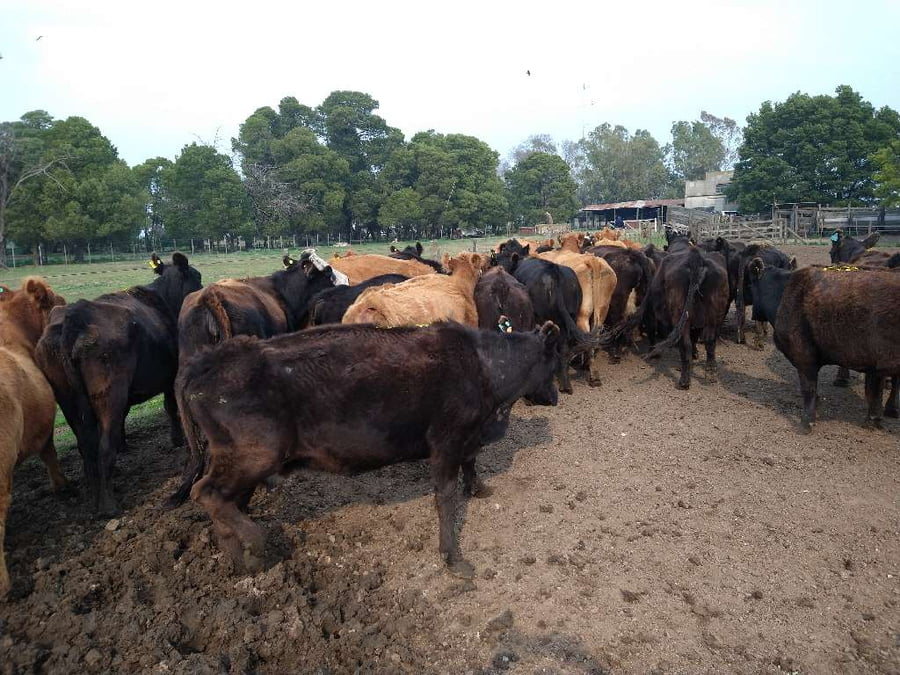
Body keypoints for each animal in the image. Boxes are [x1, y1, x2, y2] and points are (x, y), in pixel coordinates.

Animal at [35, 253, 202, 516]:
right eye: (198, 276)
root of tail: (76, 316)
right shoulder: (170, 373)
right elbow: (170, 407)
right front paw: (177, 439)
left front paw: (124, 443)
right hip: (110, 393)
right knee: (103, 447)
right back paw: (108, 505)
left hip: (68, 399)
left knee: (86, 446)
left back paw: (94, 495)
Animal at [171, 321, 562, 577]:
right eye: (553, 360)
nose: (558, 396)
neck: (483, 366)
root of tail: (207, 361)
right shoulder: (446, 442)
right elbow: (446, 498)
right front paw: (453, 558)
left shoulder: (467, 438)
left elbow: (472, 462)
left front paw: (479, 488)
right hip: (254, 453)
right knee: (206, 492)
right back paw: (254, 542)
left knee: (225, 503)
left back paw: (240, 559)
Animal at [748, 259, 900, 431]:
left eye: (751, 285)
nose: (753, 314)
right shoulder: (874, 365)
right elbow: (874, 394)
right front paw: (873, 421)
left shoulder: (804, 356)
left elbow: (808, 389)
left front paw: (806, 422)